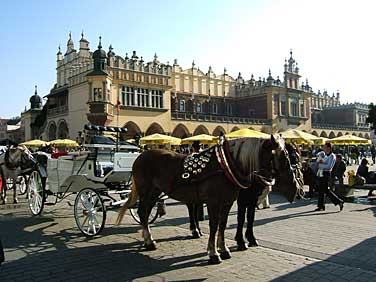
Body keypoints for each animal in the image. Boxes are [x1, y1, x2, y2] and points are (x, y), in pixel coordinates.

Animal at [116, 135, 302, 264]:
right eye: (283, 157)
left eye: (291, 155)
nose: (296, 188)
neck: (227, 166)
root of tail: (141, 155)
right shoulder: (215, 202)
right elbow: (214, 226)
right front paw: (214, 253)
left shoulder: (228, 202)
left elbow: (223, 224)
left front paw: (224, 249)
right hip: (146, 191)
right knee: (143, 213)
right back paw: (149, 241)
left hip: (154, 192)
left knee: (145, 213)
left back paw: (149, 239)